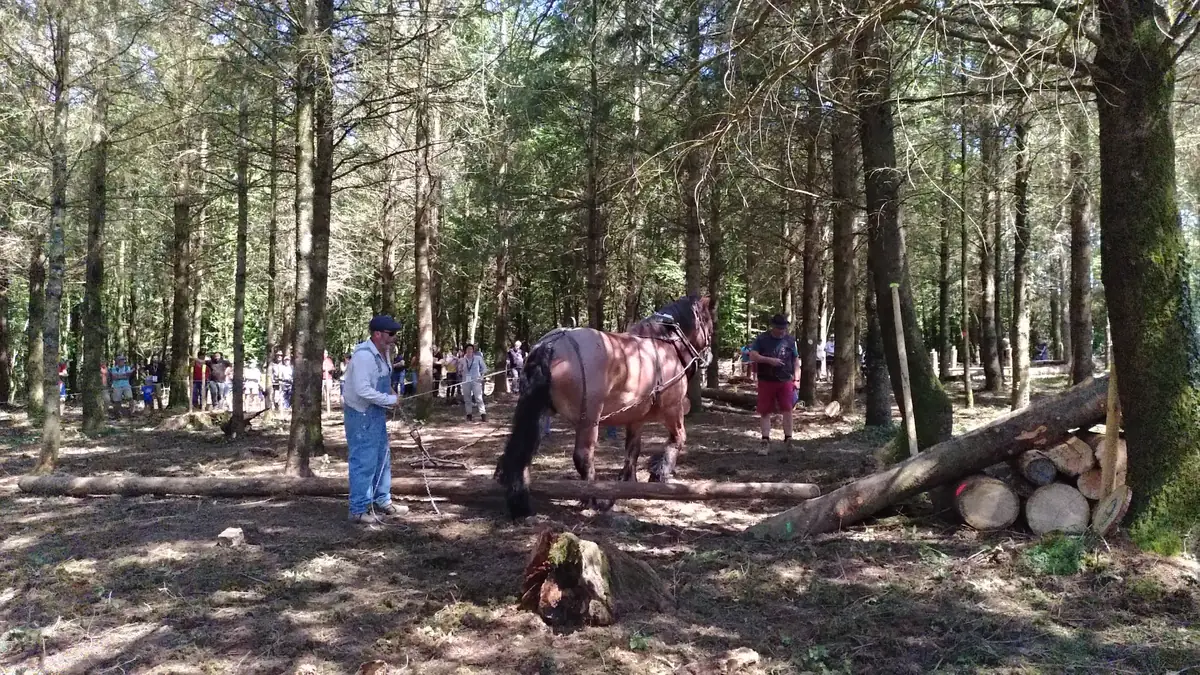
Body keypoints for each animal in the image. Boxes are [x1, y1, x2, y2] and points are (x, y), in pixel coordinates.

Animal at [494, 295, 714, 518]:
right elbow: (678, 439)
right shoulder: (673, 409)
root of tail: (551, 344)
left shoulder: (635, 417)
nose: (709, 356)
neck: (665, 347)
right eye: (709, 324)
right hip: (589, 419)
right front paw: (660, 473)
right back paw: (594, 499)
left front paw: (629, 482)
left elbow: (632, 450)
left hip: (538, 412)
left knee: (522, 454)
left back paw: (520, 501)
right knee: (583, 457)